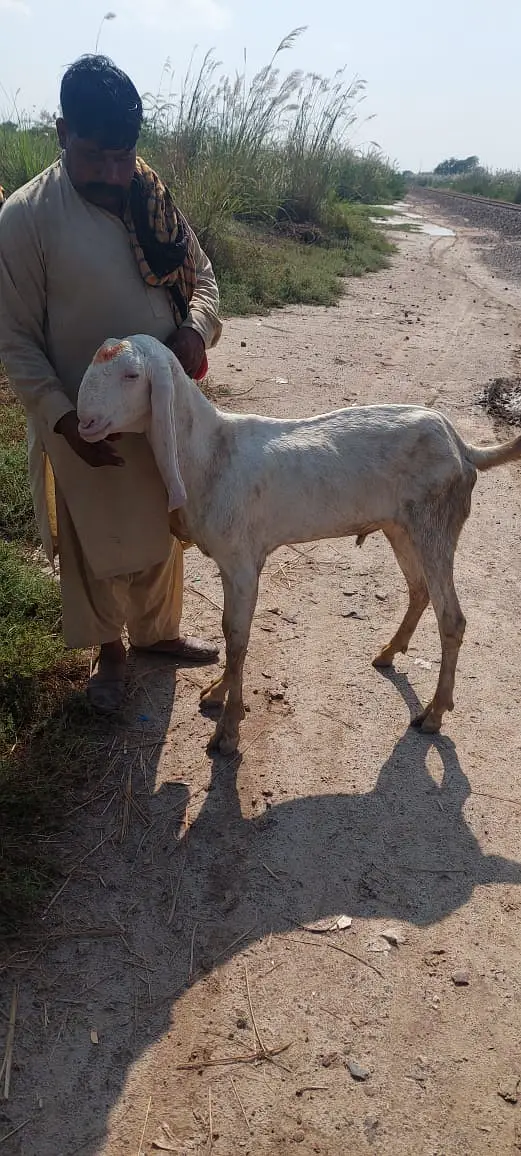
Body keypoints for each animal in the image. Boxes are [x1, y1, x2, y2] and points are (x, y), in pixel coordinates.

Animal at [77, 334, 521, 754]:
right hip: (401, 527)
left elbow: (236, 637)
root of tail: (463, 448)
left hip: (436, 524)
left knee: (453, 618)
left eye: (132, 375)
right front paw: (217, 693)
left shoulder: (241, 561)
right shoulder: (233, 563)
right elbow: (231, 633)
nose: (85, 422)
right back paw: (389, 653)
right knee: (419, 589)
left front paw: (227, 731)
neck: (211, 451)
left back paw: (433, 713)